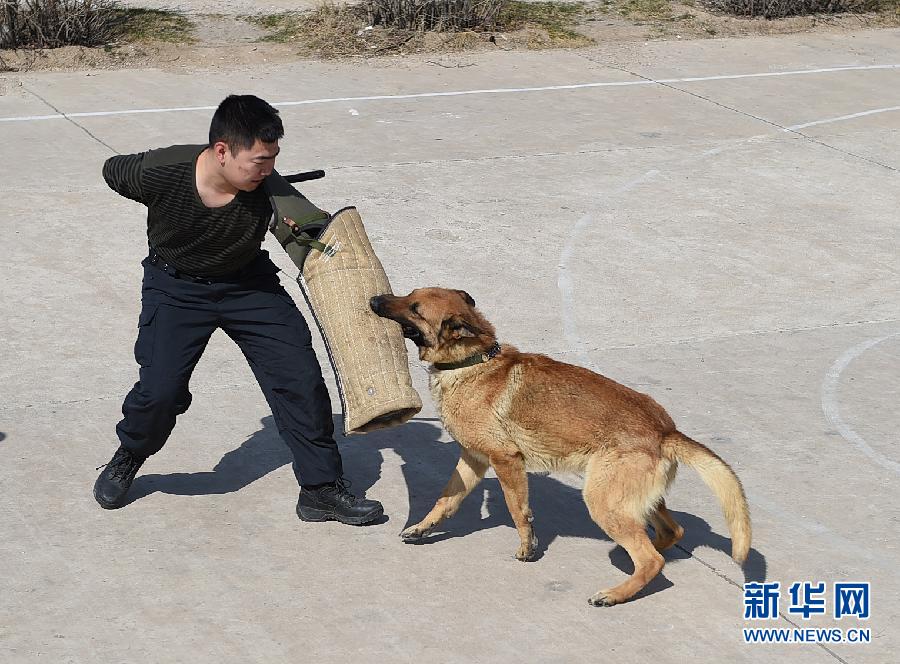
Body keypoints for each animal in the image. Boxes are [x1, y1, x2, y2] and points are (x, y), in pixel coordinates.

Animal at [370, 288, 748, 604]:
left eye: (415, 308)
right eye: (409, 295)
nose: (374, 300)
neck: (471, 363)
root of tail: (665, 430)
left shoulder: (506, 460)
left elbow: (518, 511)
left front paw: (527, 548)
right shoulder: (474, 459)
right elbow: (445, 500)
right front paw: (422, 528)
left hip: (602, 501)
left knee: (652, 560)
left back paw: (615, 594)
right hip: (630, 499)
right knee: (670, 532)